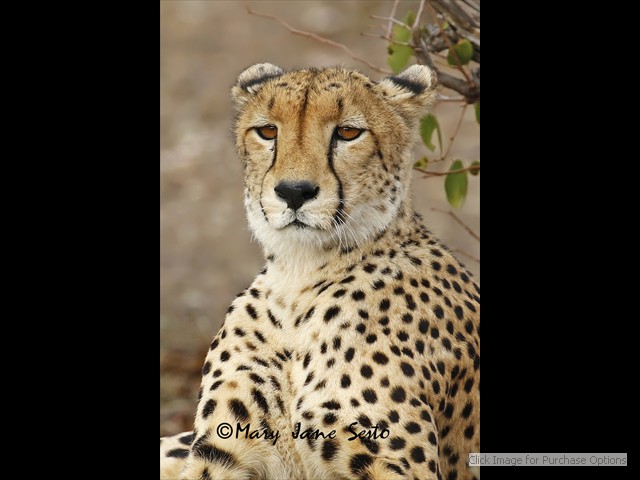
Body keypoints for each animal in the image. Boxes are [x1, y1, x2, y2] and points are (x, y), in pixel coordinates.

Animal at [160, 63, 480, 480]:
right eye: (268, 131)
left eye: (348, 132)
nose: (294, 191)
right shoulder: (219, 452)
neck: (300, 278)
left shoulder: (399, 466)